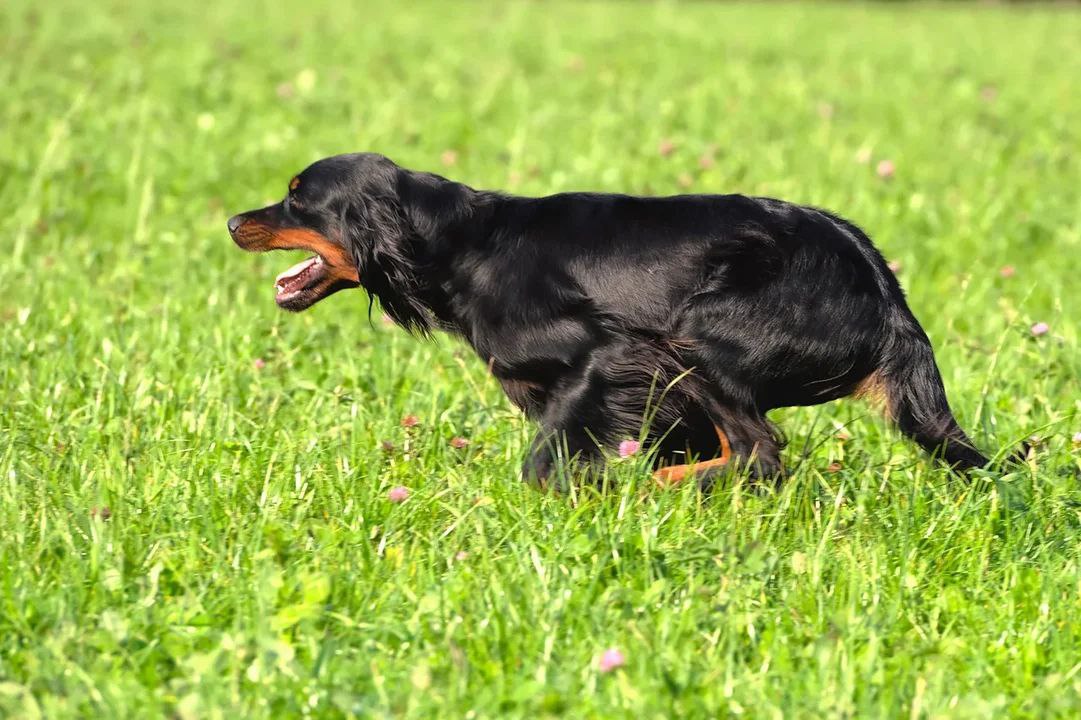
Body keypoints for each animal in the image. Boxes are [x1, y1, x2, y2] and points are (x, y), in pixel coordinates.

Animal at [232, 152, 990, 488]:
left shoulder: (612, 352)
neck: (463, 245)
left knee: (756, 450)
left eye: (298, 198)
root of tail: (883, 289)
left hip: (698, 334)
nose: (235, 220)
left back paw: (648, 492)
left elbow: (548, 457)